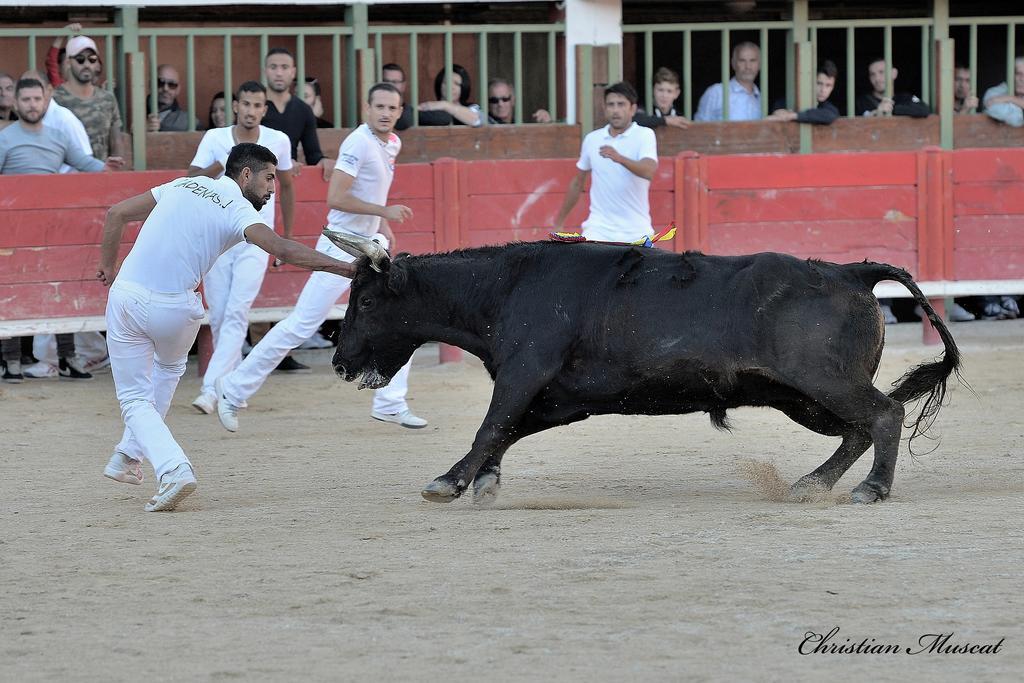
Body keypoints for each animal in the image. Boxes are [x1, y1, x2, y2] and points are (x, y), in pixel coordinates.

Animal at [329, 242, 958, 505]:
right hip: (802, 398)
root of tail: (852, 271)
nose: (338, 361)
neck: (506, 286)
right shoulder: (563, 397)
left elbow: (491, 424)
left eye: (366, 300)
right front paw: (485, 480)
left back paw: (871, 490)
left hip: (823, 383)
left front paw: (449, 481)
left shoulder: (524, 372)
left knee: (884, 413)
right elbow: (507, 428)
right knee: (858, 428)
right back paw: (813, 484)